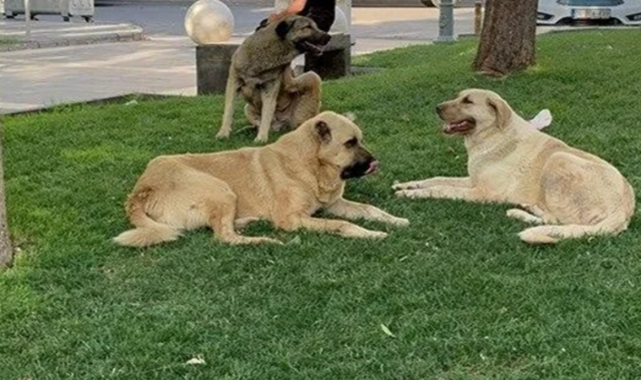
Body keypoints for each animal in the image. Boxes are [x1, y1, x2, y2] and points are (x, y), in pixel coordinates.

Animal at [114, 110, 408, 246]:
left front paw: (395, 220)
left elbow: (370, 209)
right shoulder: (292, 219)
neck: (309, 166)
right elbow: (342, 225)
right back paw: (264, 240)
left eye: (360, 140)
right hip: (219, 188)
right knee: (224, 237)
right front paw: (370, 233)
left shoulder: (334, 204)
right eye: (350, 143)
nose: (376, 163)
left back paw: (246, 222)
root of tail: (142, 189)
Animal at [216, 14, 330, 142]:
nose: (328, 36)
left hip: (312, 77)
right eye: (307, 27)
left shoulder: (269, 88)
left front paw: (261, 138)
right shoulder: (233, 82)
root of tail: (279, 124)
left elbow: (267, 113)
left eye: (315, 26)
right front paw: (223, 133)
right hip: (248, 108)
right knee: (257, 123)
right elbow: (228, 109)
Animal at [392, 88, 632, 243]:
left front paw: (411, 194)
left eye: (468, 101)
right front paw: (406, 185)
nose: (437, 108)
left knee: (559, 220)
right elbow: (436, 179)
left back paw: (521, 212)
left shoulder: (482, 192)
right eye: (458, 97)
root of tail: (624, 209)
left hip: (559, 158)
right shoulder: (472, 180)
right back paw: (527, 207)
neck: (493, 135)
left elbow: (441, 189)